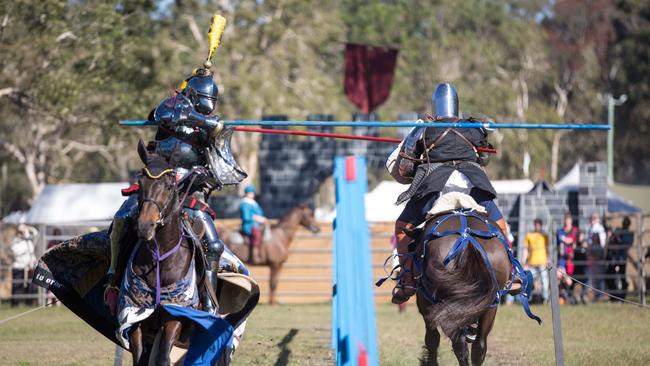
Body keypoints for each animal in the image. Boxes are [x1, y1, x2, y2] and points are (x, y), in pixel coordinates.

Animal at [412, 209, 524, 366]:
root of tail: (467, 238)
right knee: (479, 346)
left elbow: (432, 340)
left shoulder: (426, 306)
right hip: (490, 305)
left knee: (459, 344)